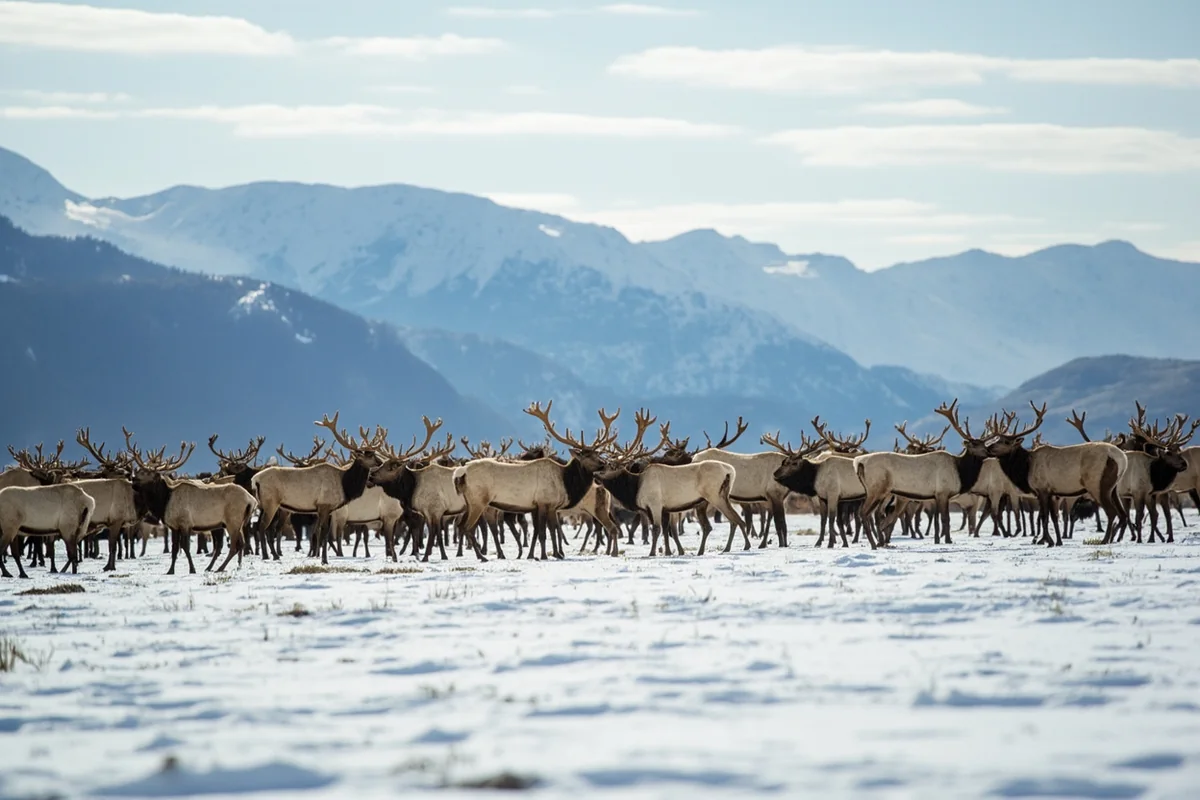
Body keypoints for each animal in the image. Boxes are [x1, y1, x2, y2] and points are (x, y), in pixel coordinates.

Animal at [123, 429, 257, 574]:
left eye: (147, 472)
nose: (133, 480)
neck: (164, 501)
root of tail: (252, 499)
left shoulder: (185, 523)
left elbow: (185, 547)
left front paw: (192, 569)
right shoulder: (174, 526)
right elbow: (175, 549)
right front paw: (170, 571)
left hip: (233, 520)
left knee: (234, 546)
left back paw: (219, 568)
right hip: (237, 523)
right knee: (239, 544)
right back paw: (231, 566)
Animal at [251, 413, 384, 565]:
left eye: (374, 452)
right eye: (368, 455)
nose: (381, 462)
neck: (345, 484)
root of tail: (255, 479)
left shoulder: (324, 509)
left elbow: (319, 533)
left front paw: (318, 556)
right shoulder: (325, 505)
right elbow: (324, 532)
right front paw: (324, 560)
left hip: (267, 505)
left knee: (265, 527)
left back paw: (274, 554)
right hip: (271, 502)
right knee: (263, 526)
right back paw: (267, 555)